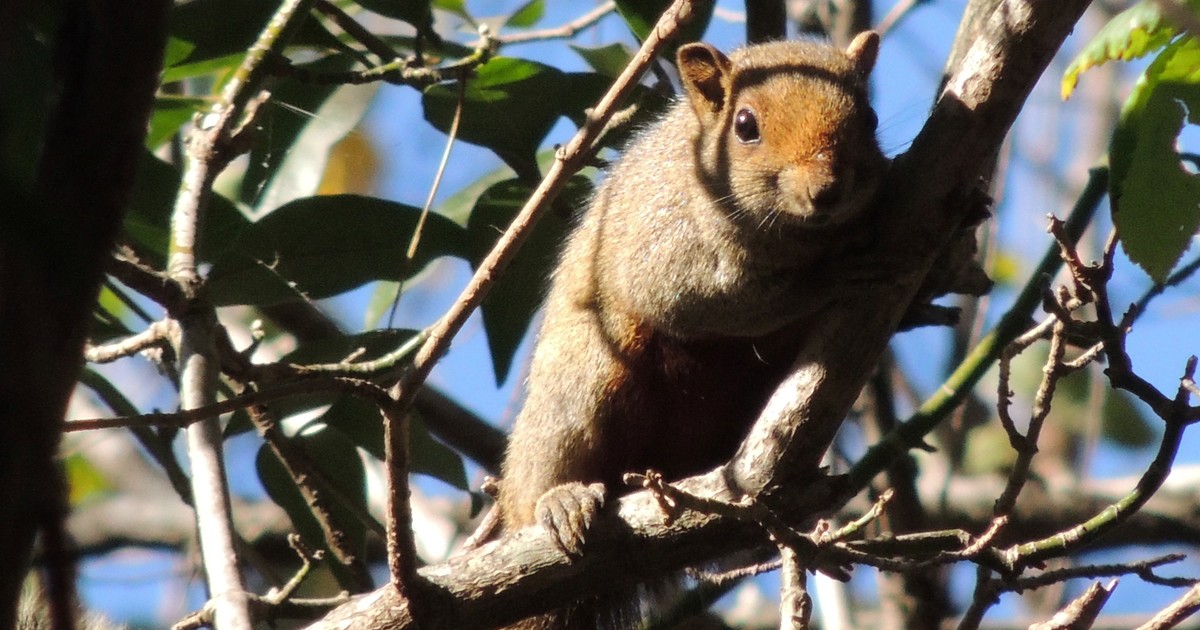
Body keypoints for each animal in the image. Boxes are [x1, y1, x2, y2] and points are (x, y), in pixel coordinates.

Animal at [497, 32, 886, 629]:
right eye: (746, 125)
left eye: (869, 117)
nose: (825, 190)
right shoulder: (665, 244)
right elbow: (707, 302)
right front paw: (826, 277)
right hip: (584, 379)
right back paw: (558, 500)